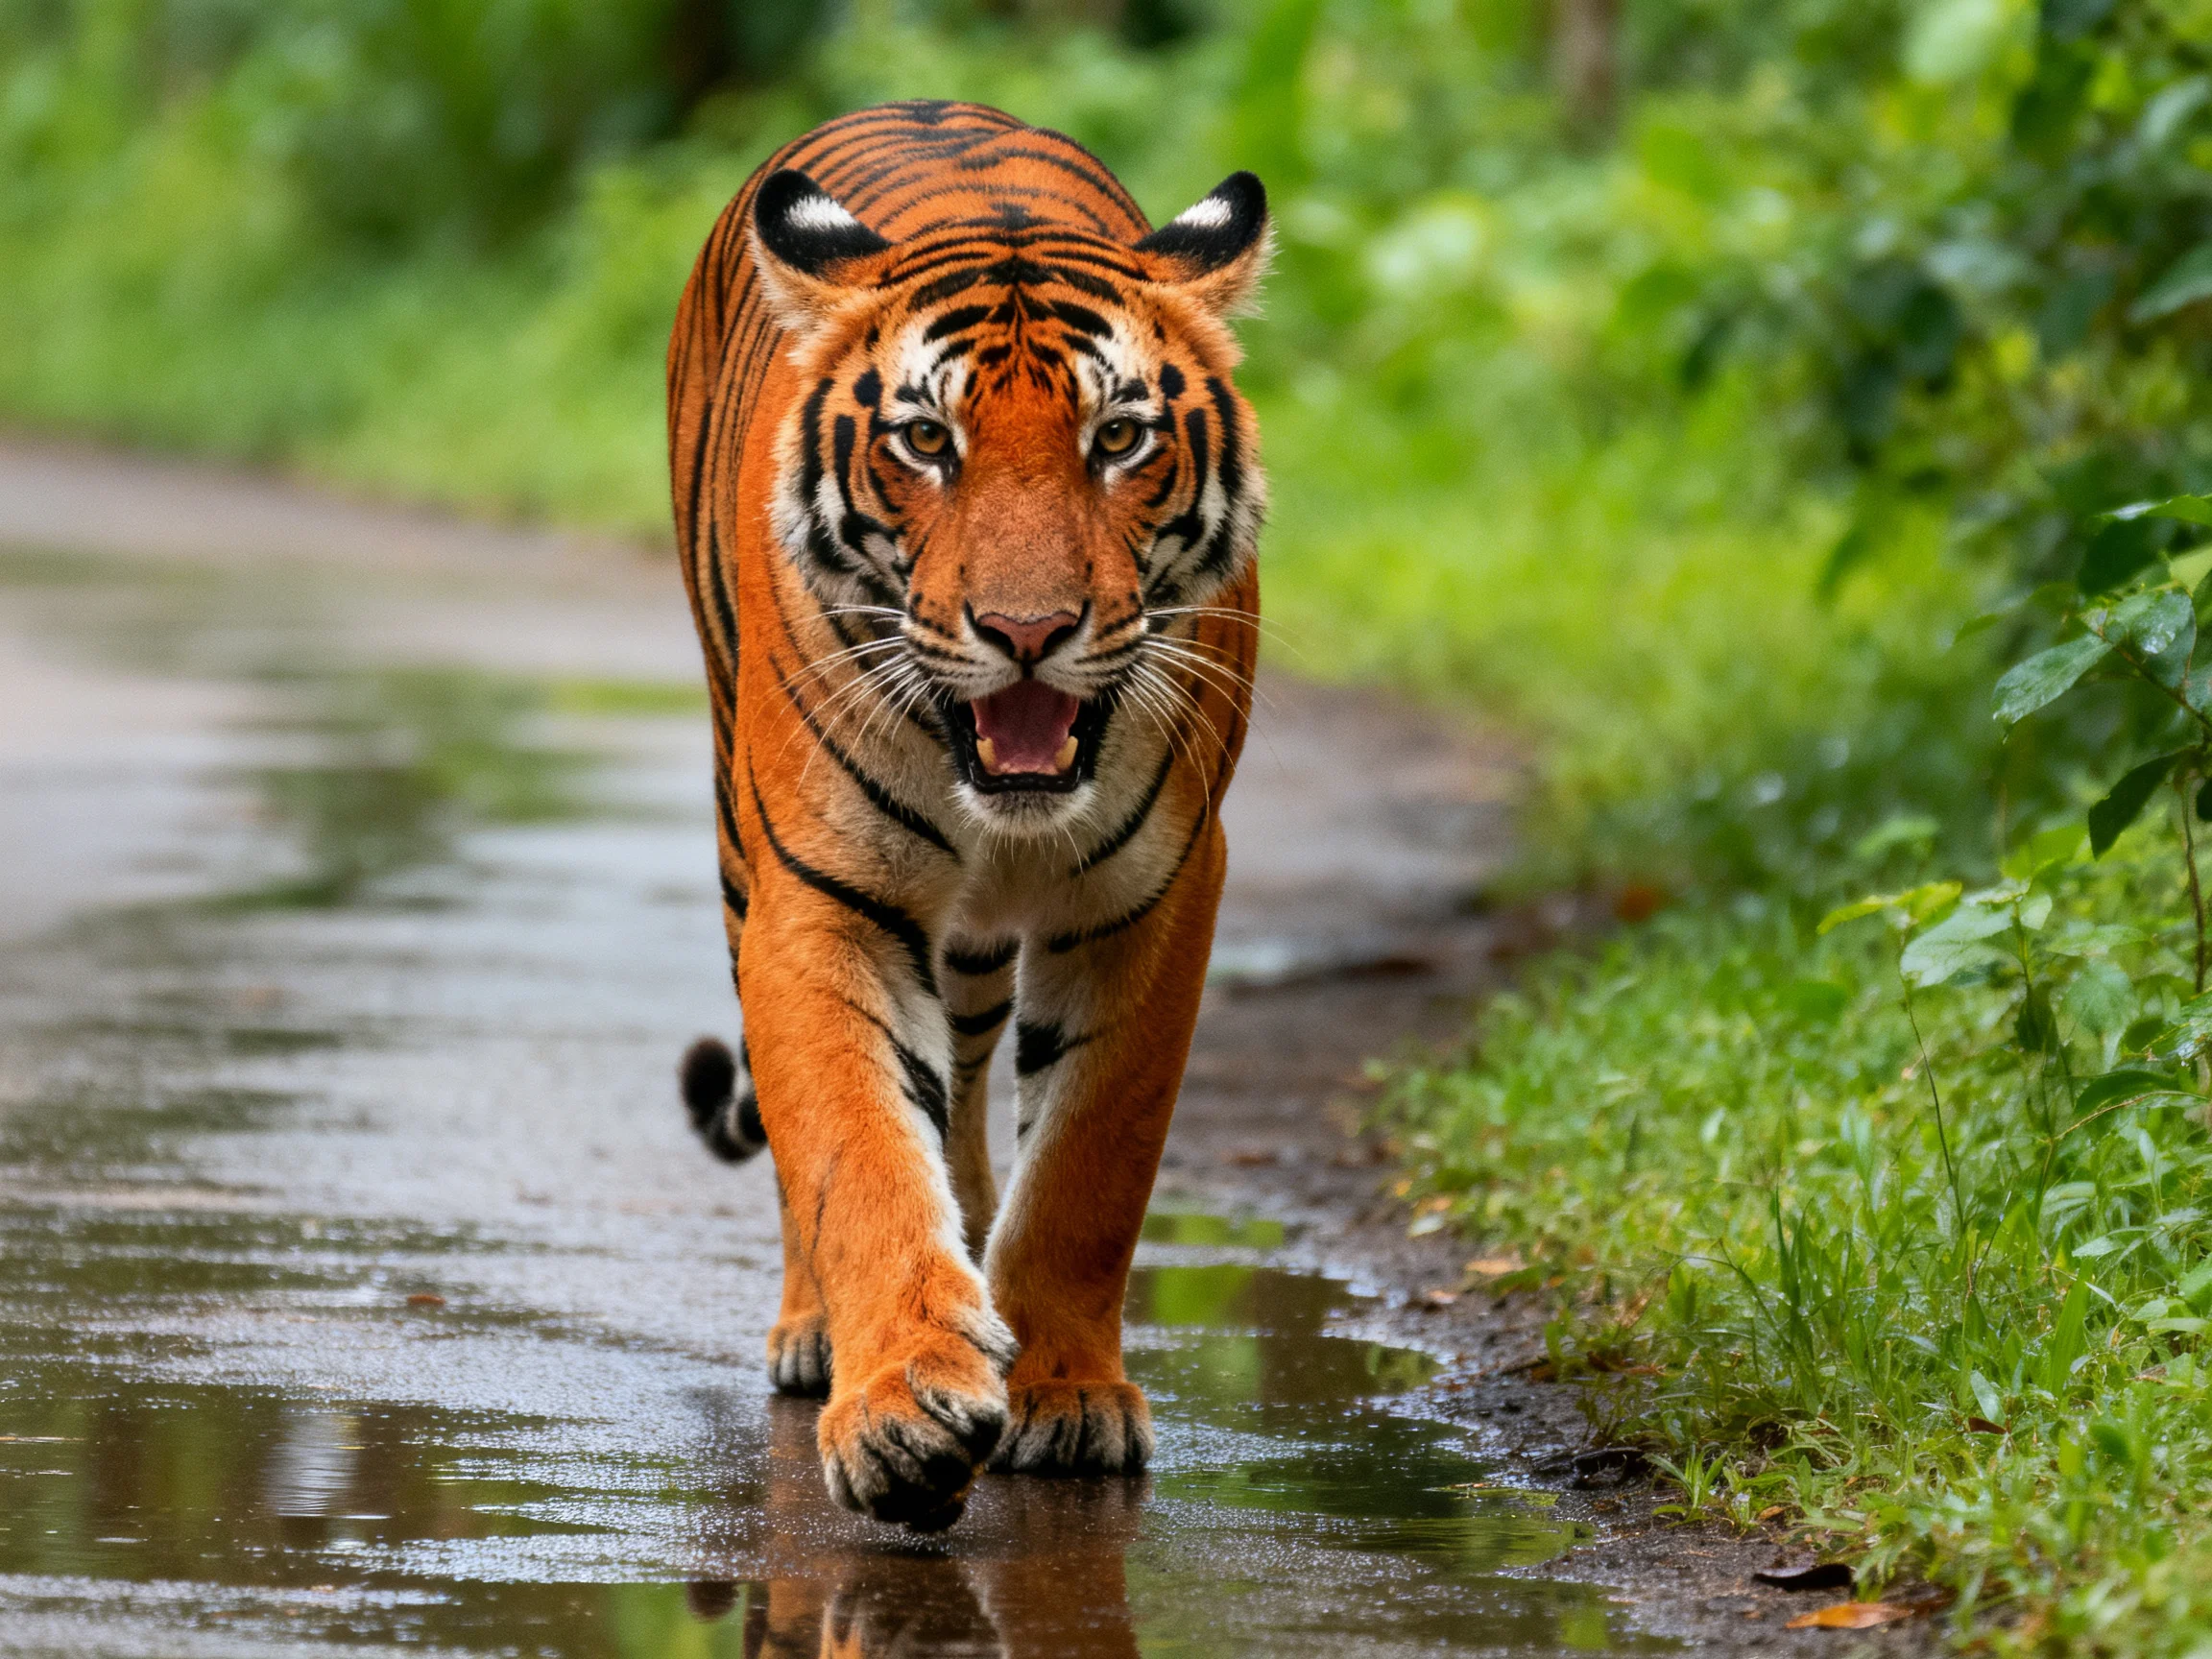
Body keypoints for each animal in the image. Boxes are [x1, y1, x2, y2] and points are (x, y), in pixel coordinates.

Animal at [664, 100, 1266, 1532]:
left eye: (1120, 440)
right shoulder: (818, 893)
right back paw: (816, 1330)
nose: (1028, 631)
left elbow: (1090, 1167)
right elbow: (854, 1147)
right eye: (927, 443)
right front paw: (901, 1402)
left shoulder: (1158, 896)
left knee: (978, 1076)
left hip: (985, 941)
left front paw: (1069, 1391)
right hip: (736, 840)